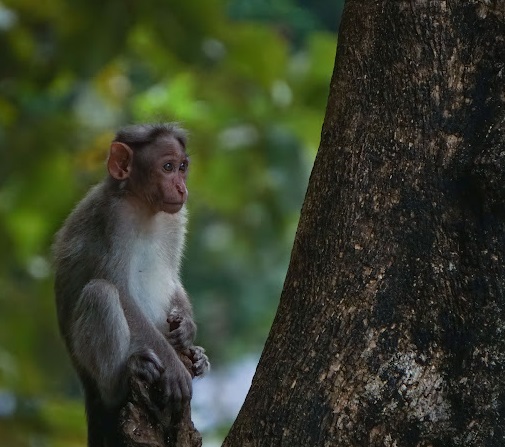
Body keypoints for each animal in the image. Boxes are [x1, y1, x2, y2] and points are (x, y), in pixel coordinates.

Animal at [51, 123, 209, 447]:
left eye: (182, 167)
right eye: (167, 167)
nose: (181, 188)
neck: (143, 205)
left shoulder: (176, 216)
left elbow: (171, 276)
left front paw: (187, 329)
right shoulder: (113, 218)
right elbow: (119, 289)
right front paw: (174, 367)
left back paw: (195, 356)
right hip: (91, 368)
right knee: (100, 293)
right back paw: (124, 377)